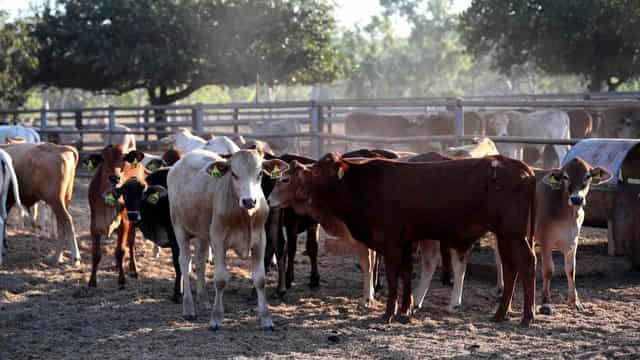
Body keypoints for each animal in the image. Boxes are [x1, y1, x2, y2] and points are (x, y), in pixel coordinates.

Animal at [86, 145, 146, 288]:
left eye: (124, 158)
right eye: (102, 159)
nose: (114, 178)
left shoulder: (124, 223)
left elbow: (120, 251)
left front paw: (121, 280)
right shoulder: (94, 224)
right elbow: (96, 254)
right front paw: (92, 281)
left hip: (132, 220)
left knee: (131, 243)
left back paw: (133, 269)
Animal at [168, 148, 284, 330]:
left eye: (259, 174)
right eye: (234, 174)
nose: (249, 201)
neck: (244, 217)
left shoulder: (260, 240)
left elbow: (260, 279)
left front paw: (266, 319)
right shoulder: (218, 239)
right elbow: (221, 280)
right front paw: (216, 318)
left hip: (202, 233)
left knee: (199, 262)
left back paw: (203, 300)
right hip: (179, 227)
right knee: (184, 262)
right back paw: (188, 307)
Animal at [268, 153, 536, 324]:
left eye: (286, 179)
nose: (269, 200)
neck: (359, 185)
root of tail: (524, 169)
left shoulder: (391, 243)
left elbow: (393, 277)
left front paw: (388, 314)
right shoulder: (406, 242)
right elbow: (406, 274)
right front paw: (404, 310)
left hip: (512, 233)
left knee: (527, 263)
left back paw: (527, 316)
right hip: (505, 235)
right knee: (511, 268)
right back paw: (500, 313)